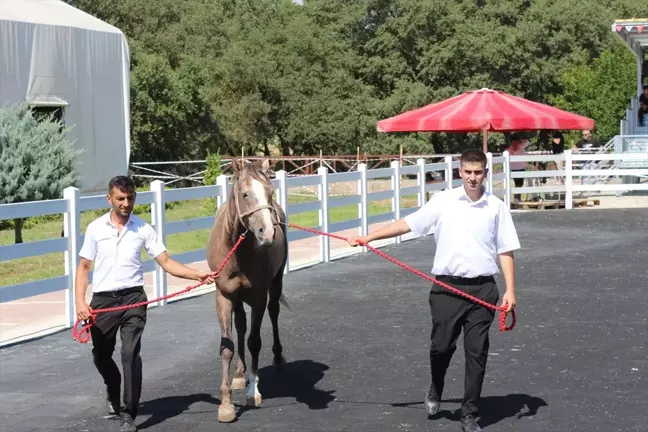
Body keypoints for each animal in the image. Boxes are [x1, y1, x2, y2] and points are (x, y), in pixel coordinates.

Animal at [206, 158, 290, 422]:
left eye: (270, 192)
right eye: (245, 194)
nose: (268, 233)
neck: (237, 249)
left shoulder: (258, 297)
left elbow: (254, 341)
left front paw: (254, 392)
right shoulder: (223, 297)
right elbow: (227, 347)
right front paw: (226, 404)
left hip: (275, 284)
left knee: (273, 313)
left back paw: (277, 358)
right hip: (237, 298)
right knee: (241, 325)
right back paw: (240, 374)